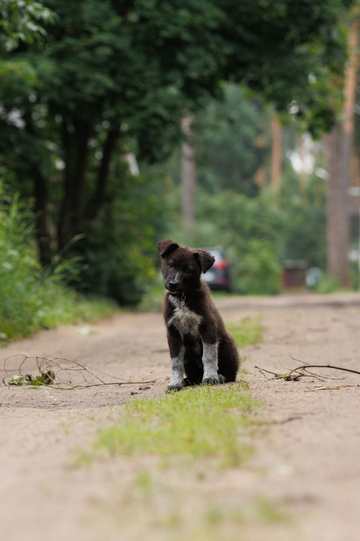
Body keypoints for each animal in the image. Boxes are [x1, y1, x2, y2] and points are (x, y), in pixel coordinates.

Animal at [158, 238, 239, 390]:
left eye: (187, 269)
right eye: (171, 265)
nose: (173, 284)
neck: (183, 296)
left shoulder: (207, 326)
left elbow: (209, 356)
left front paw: (210, 377)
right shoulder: (172, 331)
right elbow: (175, 362)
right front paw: (174, 383)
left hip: (226, 343)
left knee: (231, 374)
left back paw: (220, 377)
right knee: (194, 376)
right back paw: (186, 381)